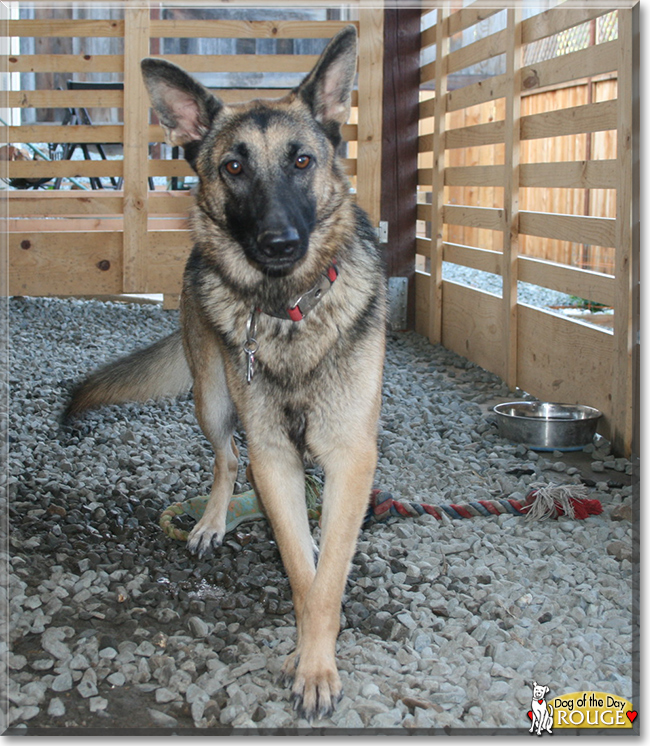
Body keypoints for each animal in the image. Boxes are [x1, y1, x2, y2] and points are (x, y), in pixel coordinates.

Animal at [67, 26, 384, 716]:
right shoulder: (272, 453)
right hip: (213, 401)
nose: (278, 243)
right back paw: (215, 519)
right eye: (233, 168)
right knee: (225, 458)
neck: (289, 308)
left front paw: (315, 658)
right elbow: (300, 570)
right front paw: (310, 652)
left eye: (302, 162)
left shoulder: (350, 457)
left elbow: (327, 577)